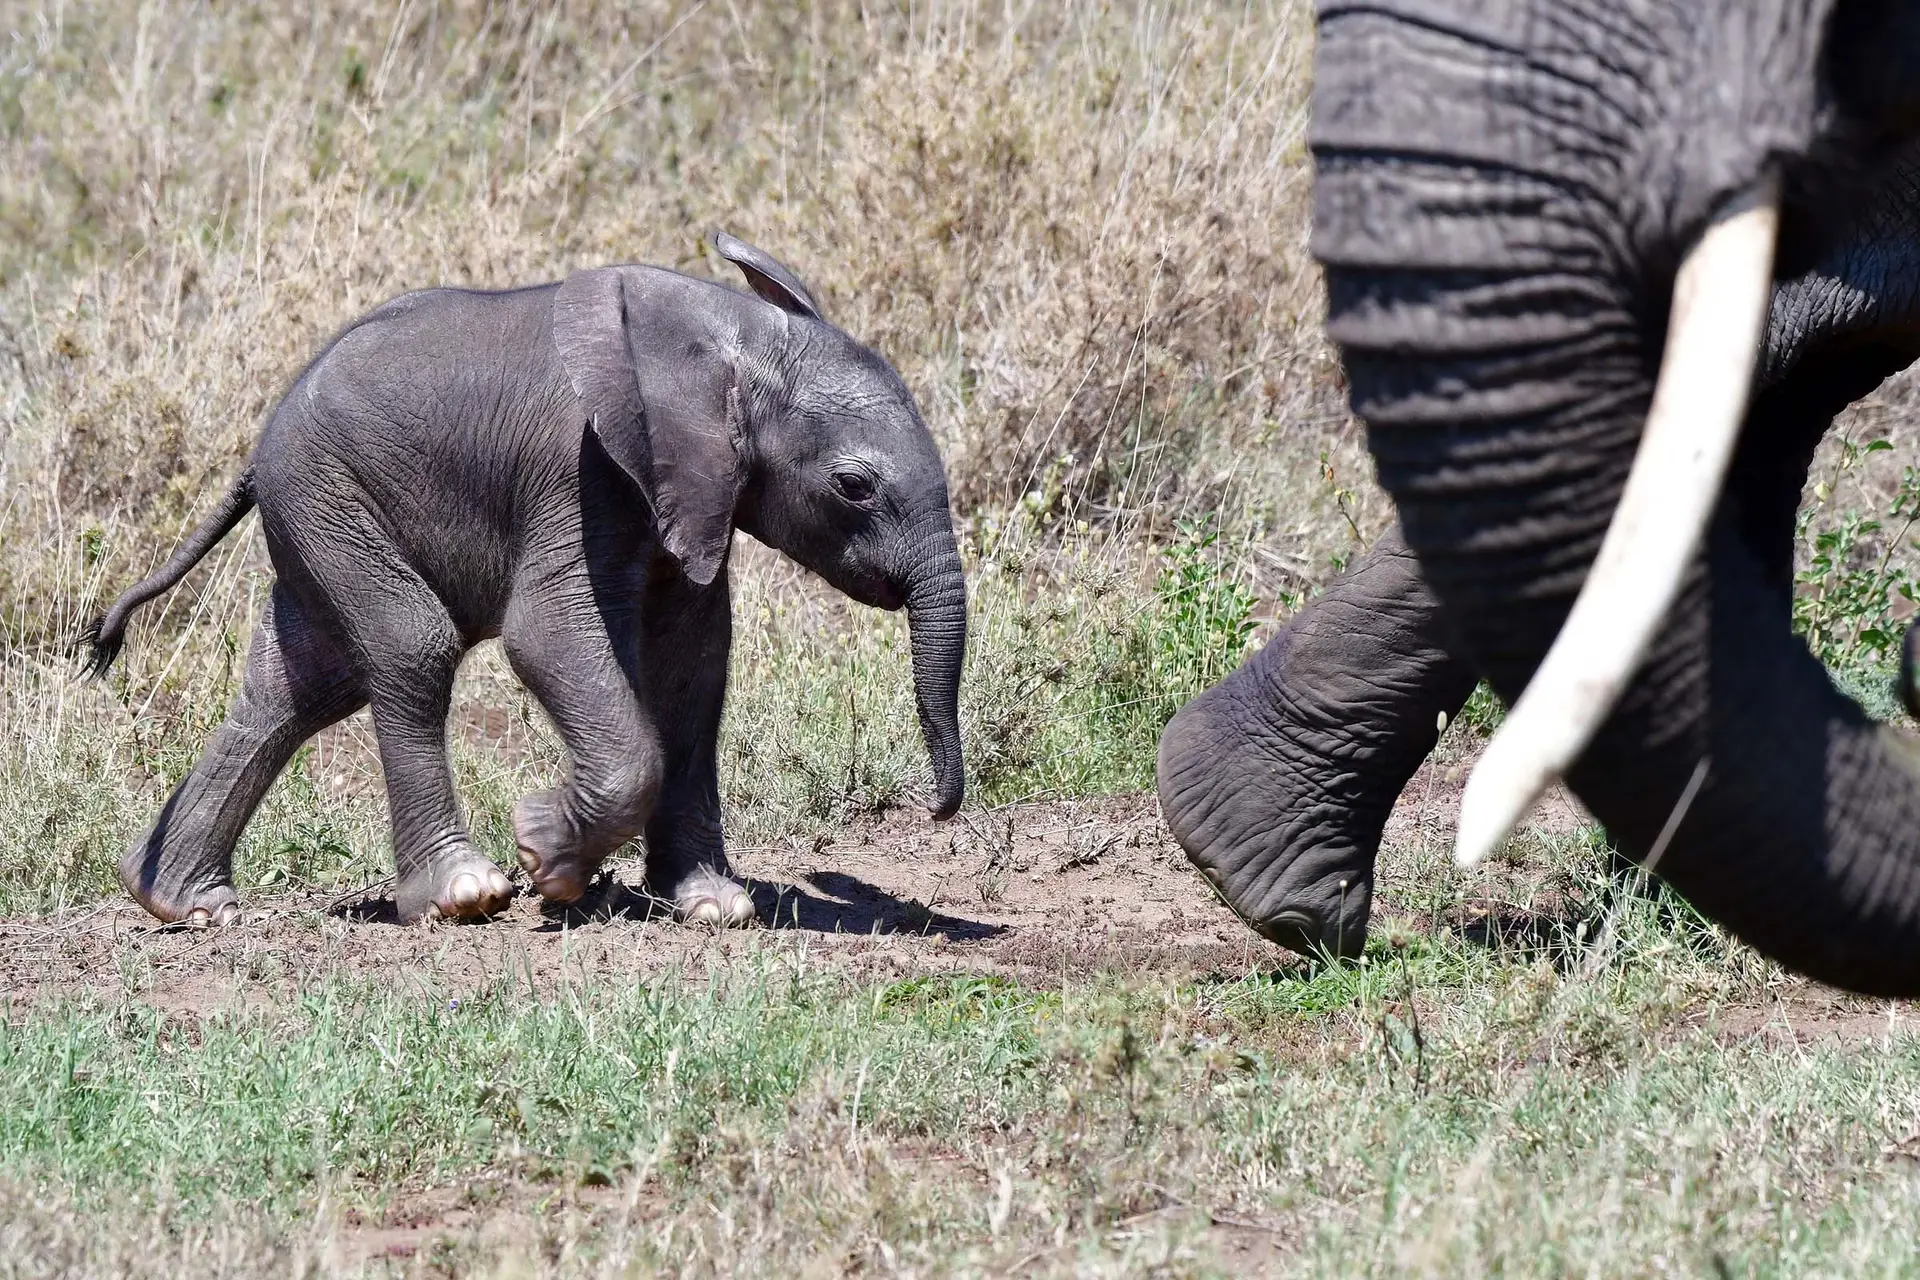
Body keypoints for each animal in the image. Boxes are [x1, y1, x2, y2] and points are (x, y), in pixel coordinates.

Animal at [82, 235, 967, 924]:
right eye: (853, 487)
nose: (931, 809)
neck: (731, 335)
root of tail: (261, 440)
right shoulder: (582, 472)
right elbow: (546, 638)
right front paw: (546, 859)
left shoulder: (689, 492)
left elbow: (694, 668)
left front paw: (714, 905)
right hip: (326, 493)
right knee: (410, 649)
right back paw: (462, 895)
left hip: (318, 513)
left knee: (299, 690)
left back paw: (178, 902)